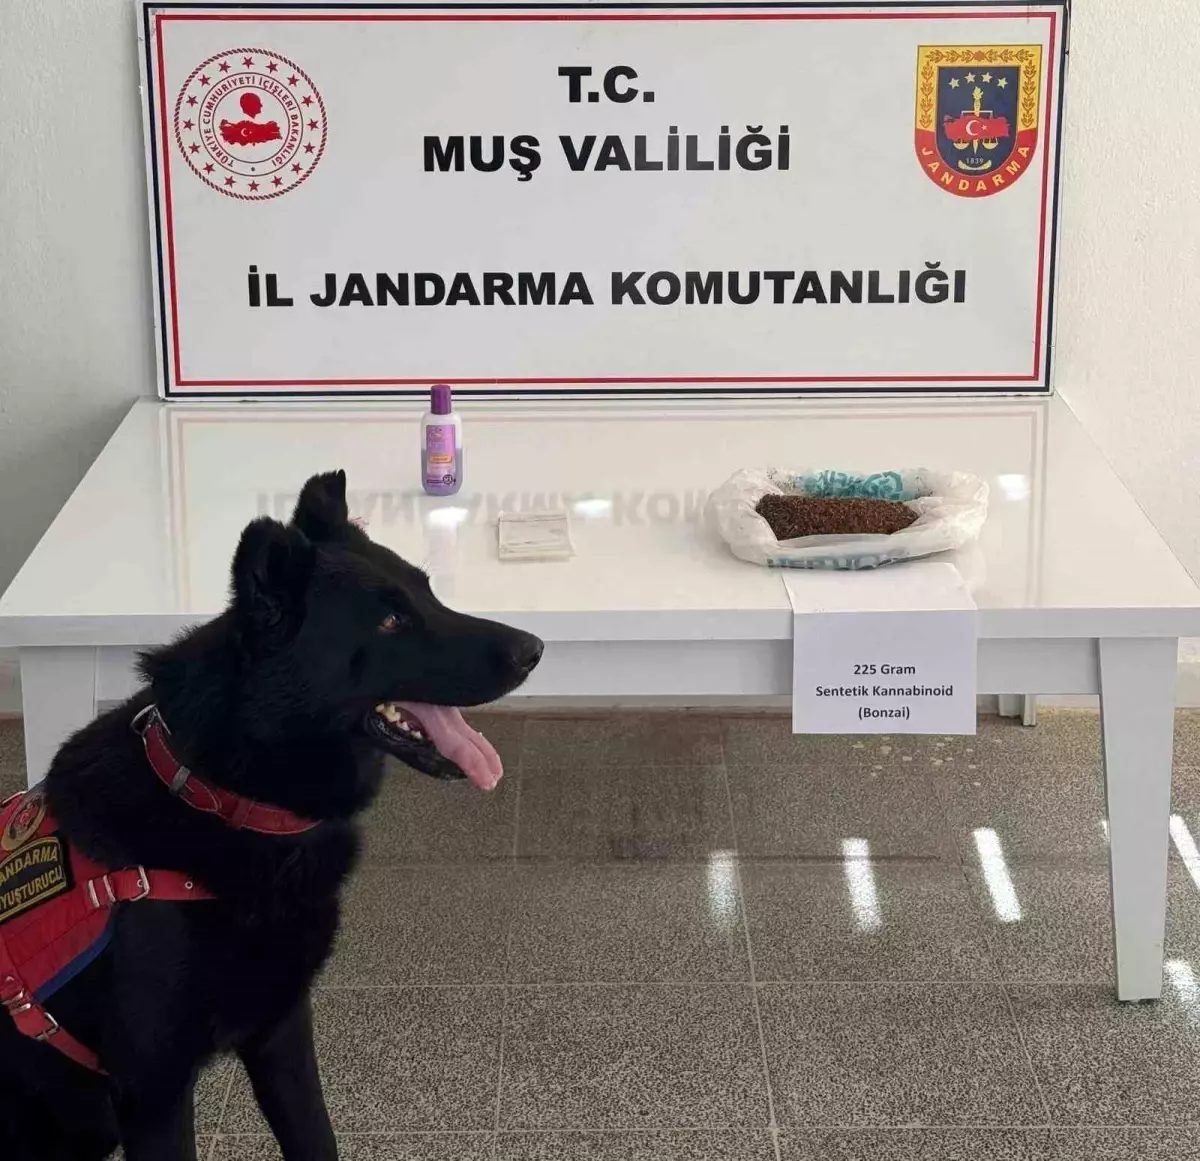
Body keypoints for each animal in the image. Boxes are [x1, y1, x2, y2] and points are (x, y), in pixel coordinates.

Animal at [0, 469, 542, 1161]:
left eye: (428, 590)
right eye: (391, 620)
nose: (535, 648)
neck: (220, 800)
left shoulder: (281, 1033)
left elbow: (315, 1136)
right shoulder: (154, 1091)